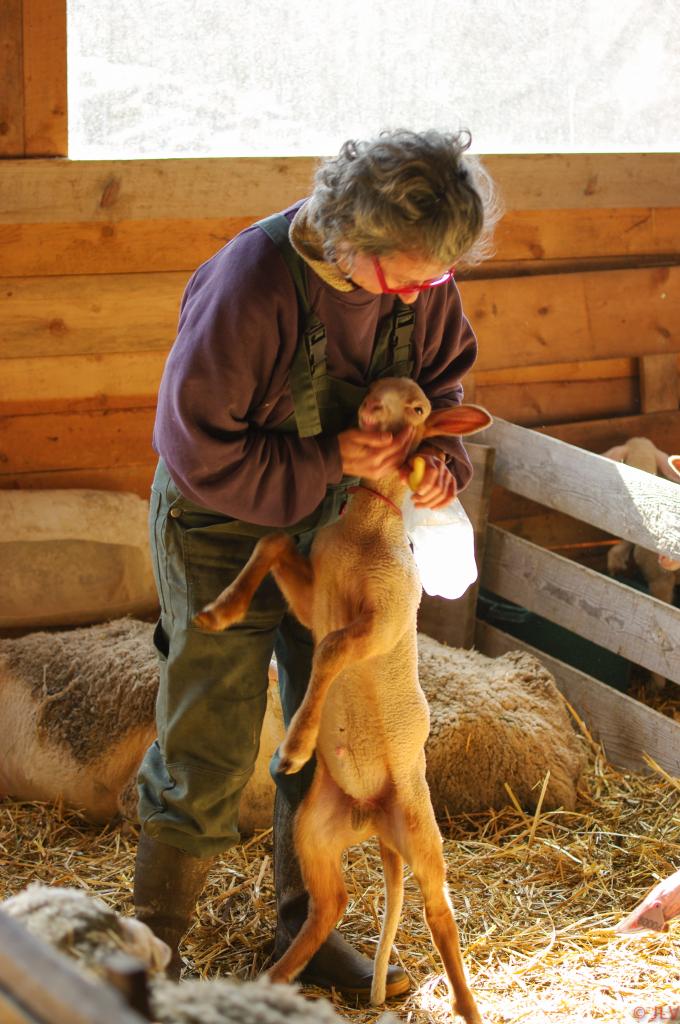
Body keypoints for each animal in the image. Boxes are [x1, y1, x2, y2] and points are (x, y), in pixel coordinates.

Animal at [193, 376, 491, 1024]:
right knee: (330, 905)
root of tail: (374, 820)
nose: (375, 406)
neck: (367, 526)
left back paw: (467, 1005)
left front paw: (295, 748)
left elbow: (329, 650)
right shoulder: (314, 597)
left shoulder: (385, 618)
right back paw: (274, 979)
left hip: (423, 833)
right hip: (315, 832)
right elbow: (273, 542)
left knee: (441, 914)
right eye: (380, 387)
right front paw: (219, 613)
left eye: (419, 407)